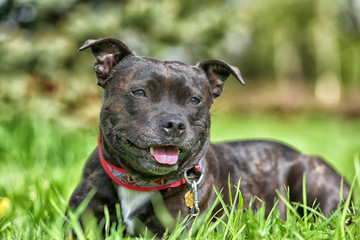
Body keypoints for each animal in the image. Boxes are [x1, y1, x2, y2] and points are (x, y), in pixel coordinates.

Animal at [67, 37, 348, 236]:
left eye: (194, 100)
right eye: (139, 93)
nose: (174, 124)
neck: (139, 183)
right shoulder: (79, 224)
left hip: (312, 176)